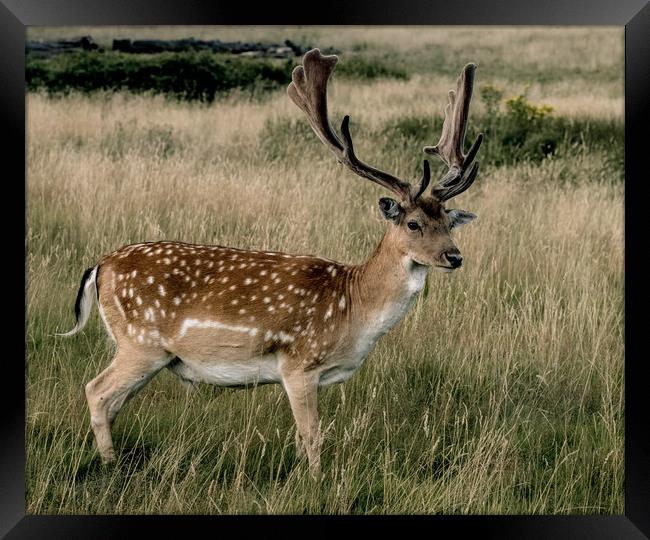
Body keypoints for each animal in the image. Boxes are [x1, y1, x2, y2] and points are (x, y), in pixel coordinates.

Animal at [57, 48, 480, 474]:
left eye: (448, 222)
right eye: (413, 223)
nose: (455, 256)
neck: (354, 308)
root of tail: (99, 267)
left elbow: (301, 438)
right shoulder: (299, 364)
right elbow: (313, 436)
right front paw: (315, 480)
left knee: (112, 401)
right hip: (140, 343)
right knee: (96, 391)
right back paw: (109, 465)